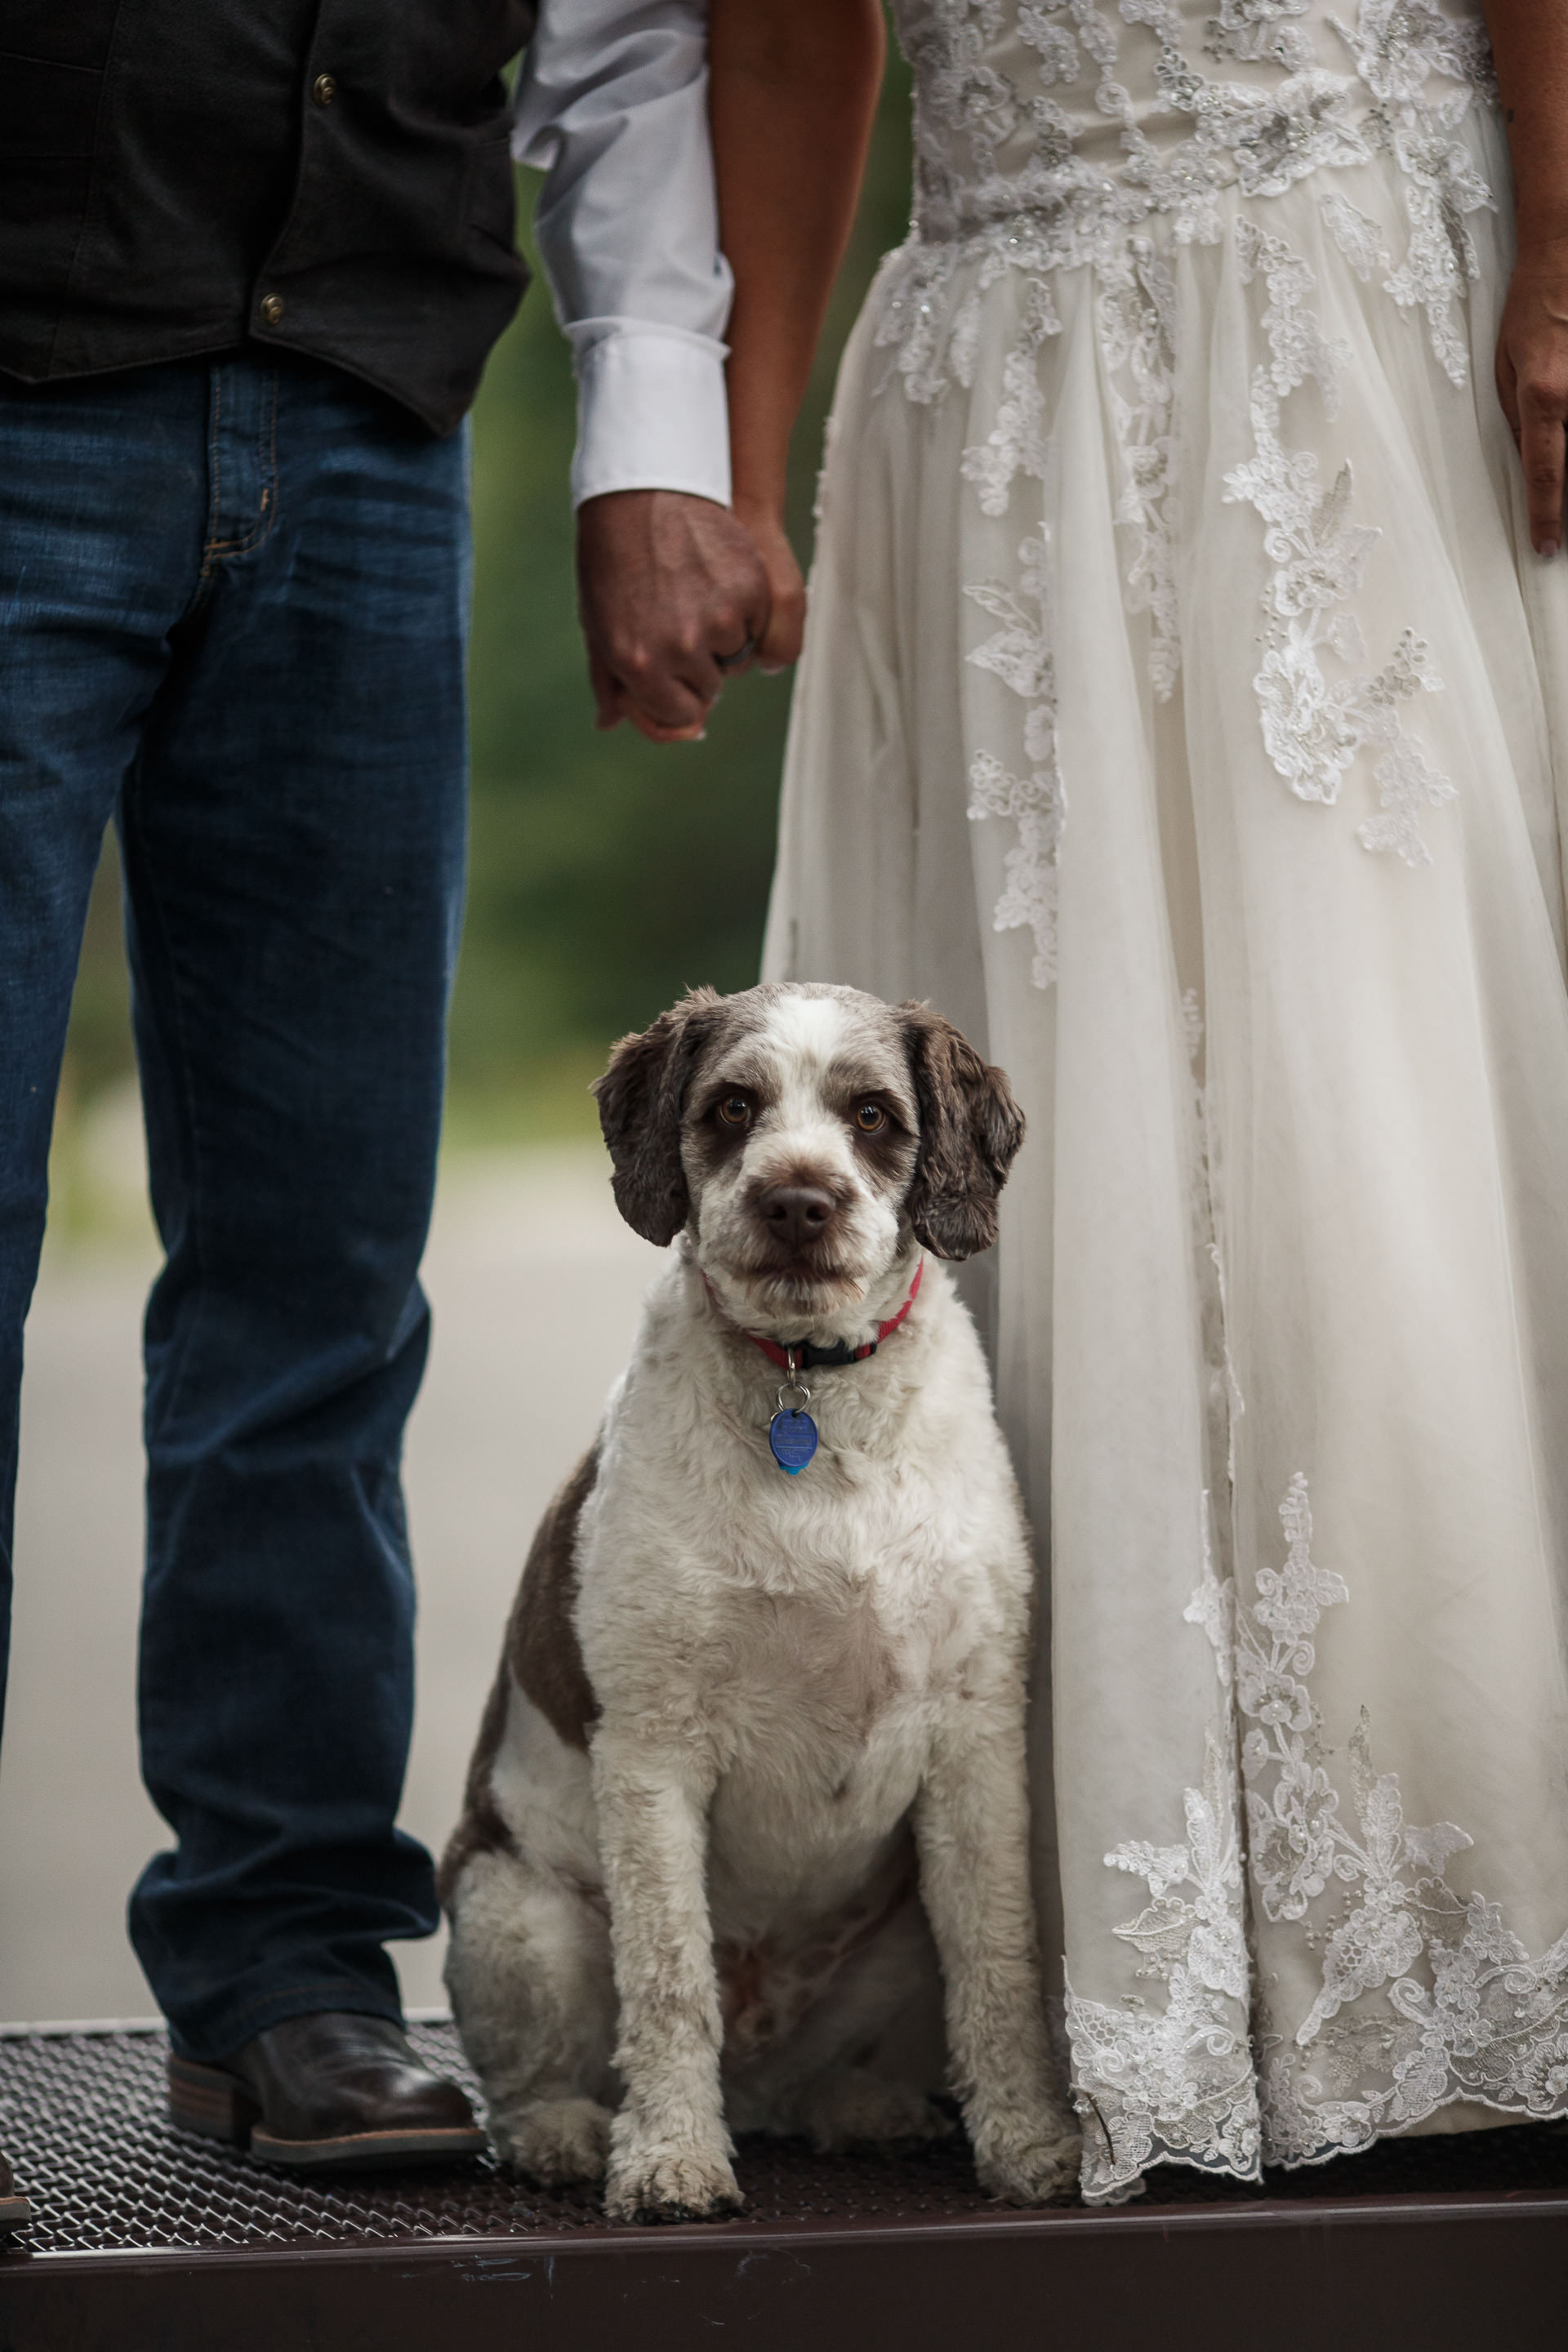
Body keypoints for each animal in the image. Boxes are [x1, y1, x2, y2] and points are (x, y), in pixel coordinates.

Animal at [442, 978, 1081, 2220]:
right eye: (734, 1106)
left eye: (873, 1114)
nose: (797, 1201)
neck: (809, 1401)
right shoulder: (652, 1748)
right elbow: (668, 1979)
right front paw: (669, 2159)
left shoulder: (976, 1734)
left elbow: (999, 1961)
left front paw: (1031, 2145)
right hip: (514, 1915)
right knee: (537, 2075)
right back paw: (567, 2133)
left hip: (884, 1949)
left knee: (813, 2080)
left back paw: (858, 2106)